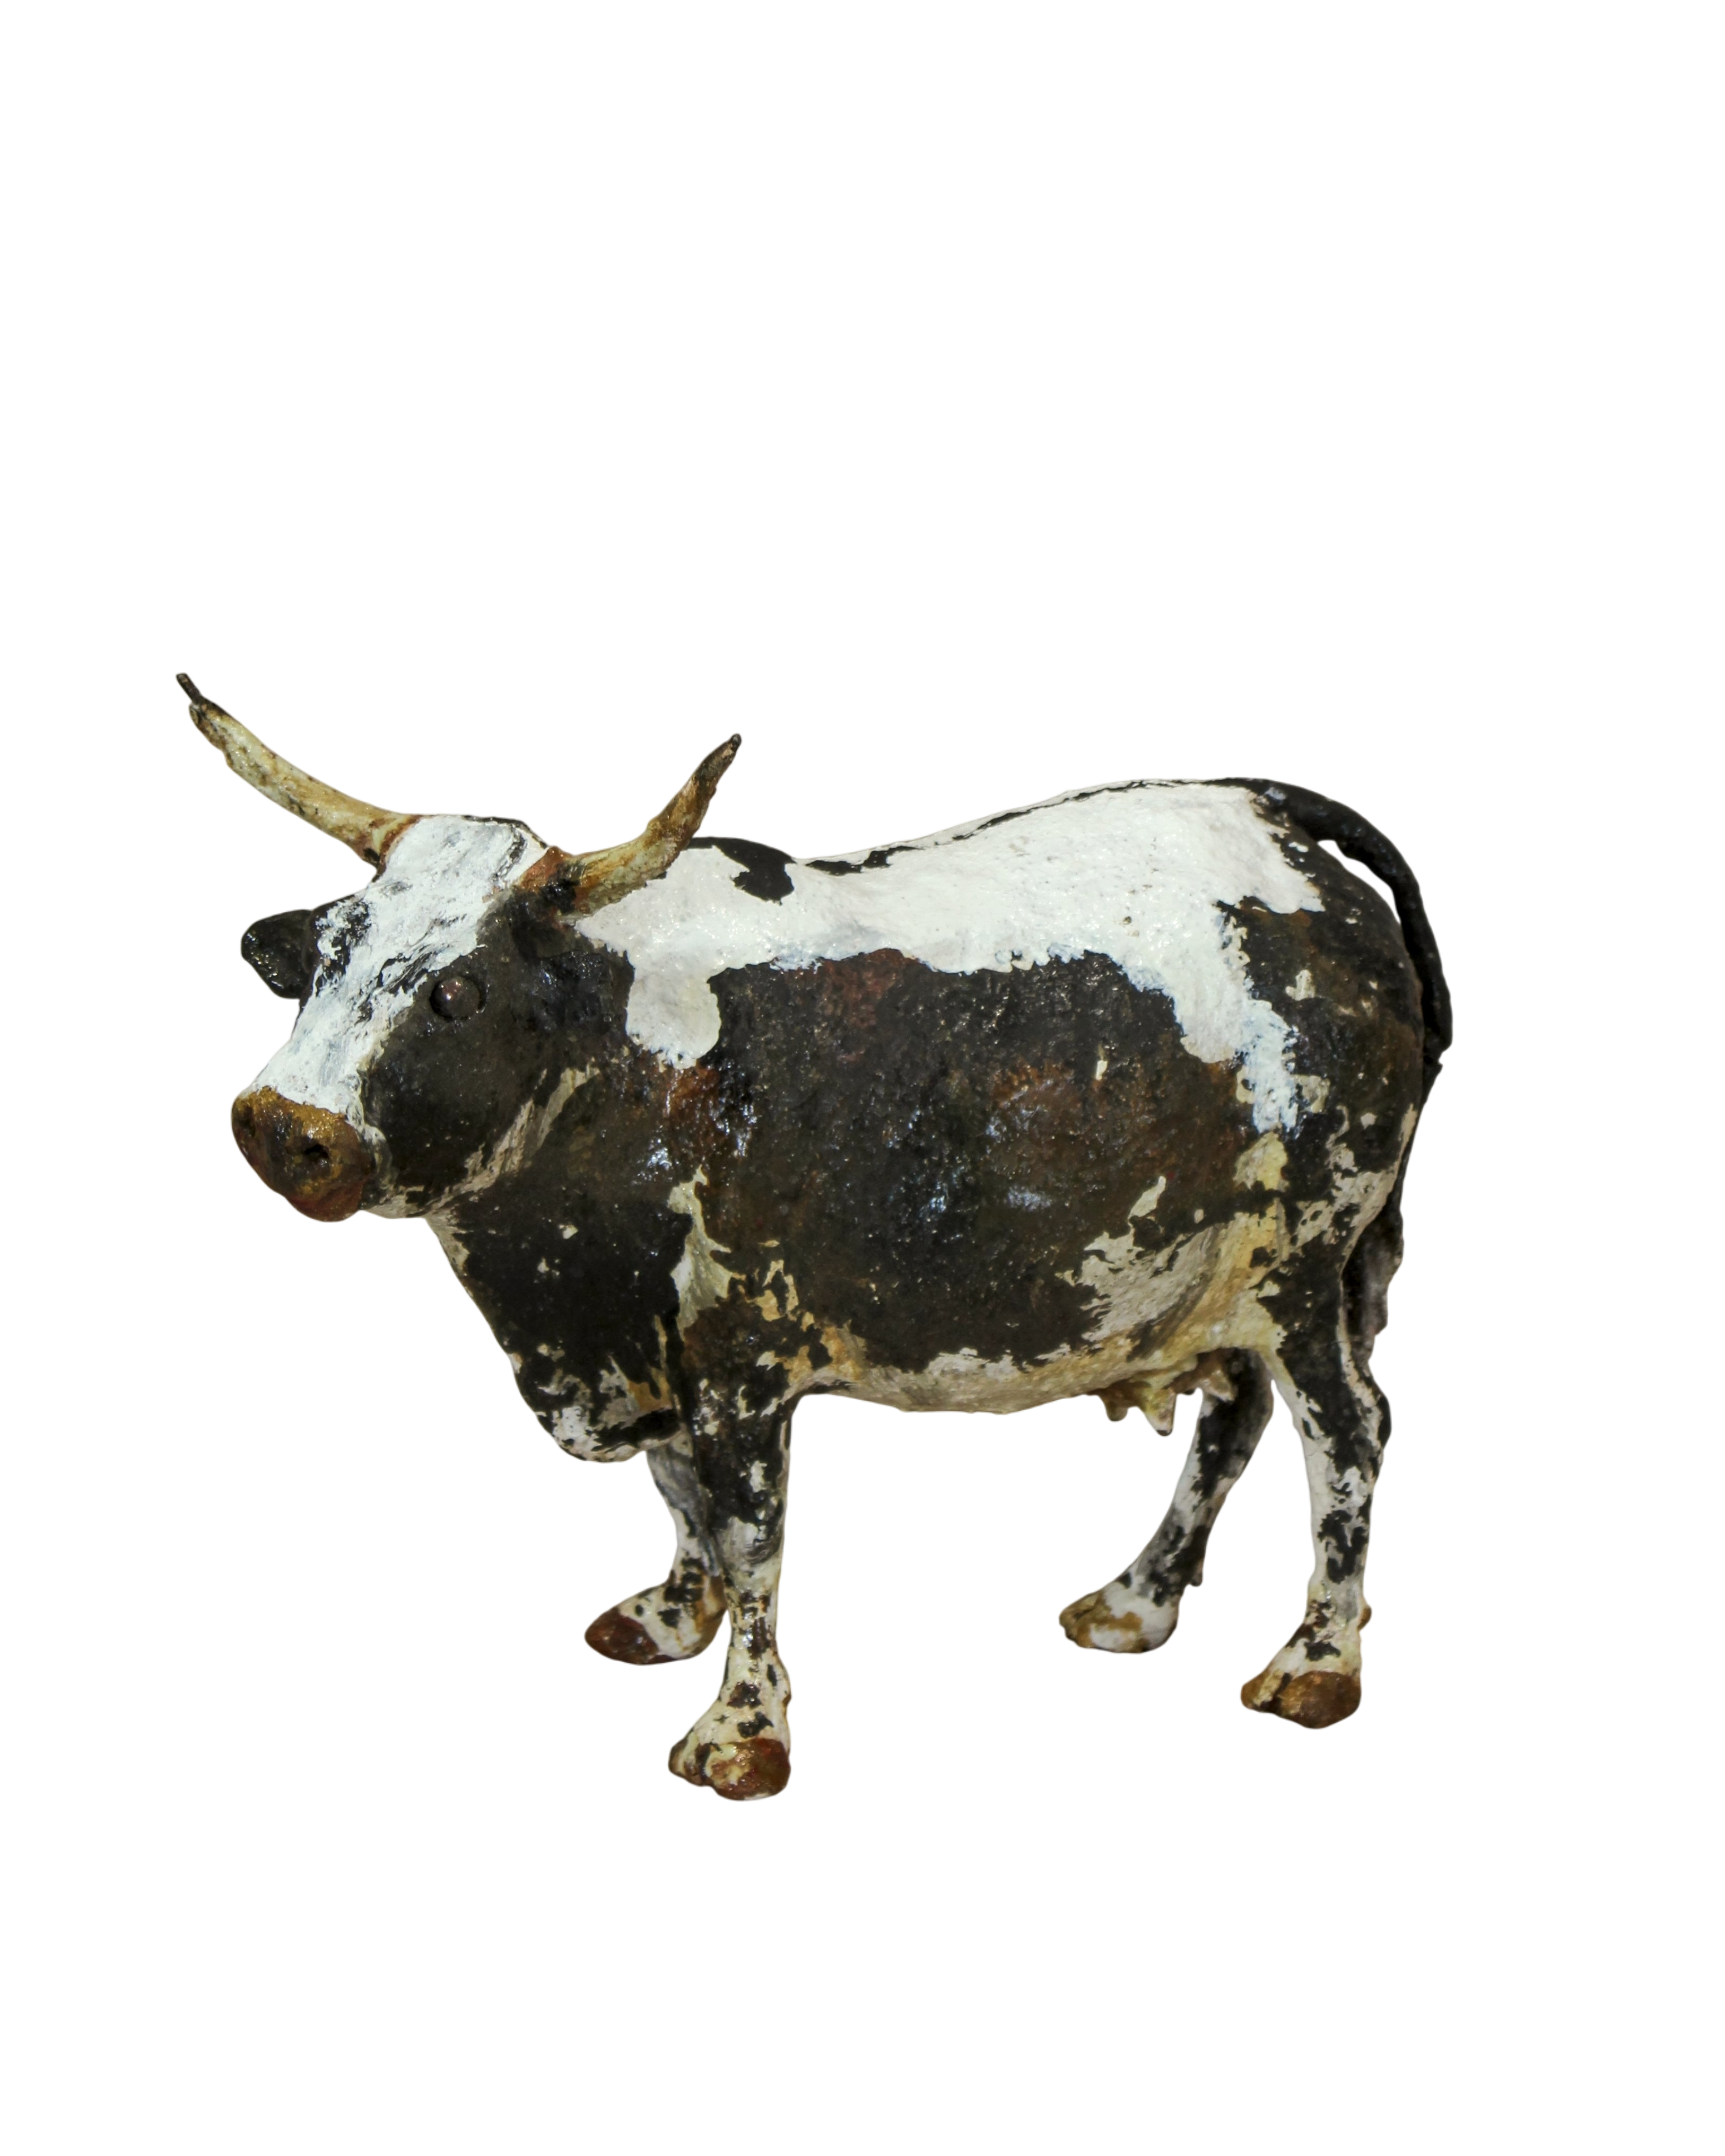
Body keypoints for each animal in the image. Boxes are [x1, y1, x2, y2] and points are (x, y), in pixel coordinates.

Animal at [173, 671, 1448, 1797]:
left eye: (456, 993)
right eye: (328, 948)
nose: (288, 1131)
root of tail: (1281, 817)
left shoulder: (742, 1351)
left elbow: (748, 1535)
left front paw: (741, 1731)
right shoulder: (638, 1348)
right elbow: (678, 1499)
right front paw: (661, 1618)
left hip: (1310, 1261)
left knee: (1347, 1435)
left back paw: (1318, 1662)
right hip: (1224, 1280)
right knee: (1235, 1414)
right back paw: (1139, 1602)